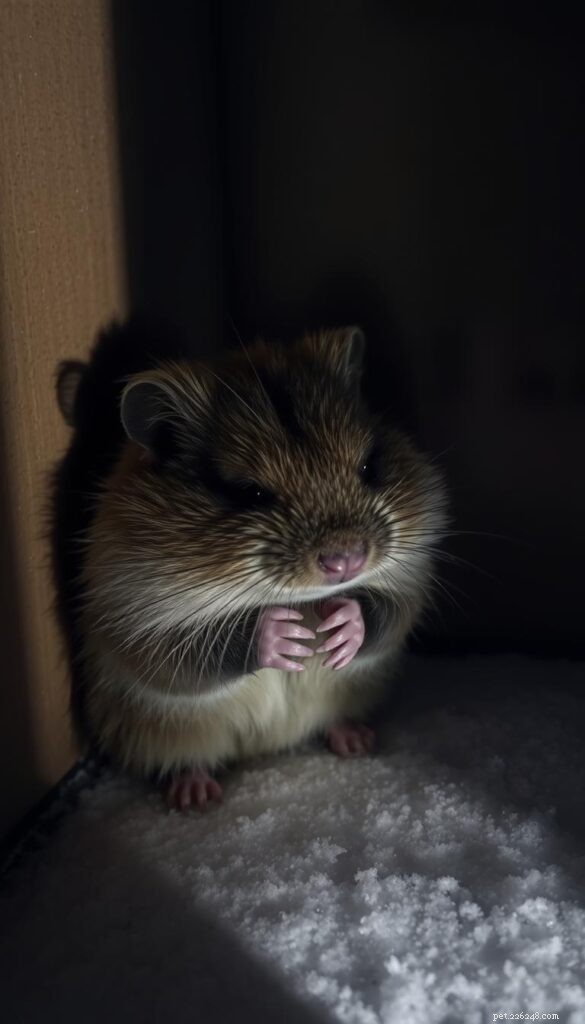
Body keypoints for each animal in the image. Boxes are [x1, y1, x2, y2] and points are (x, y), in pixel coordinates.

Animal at [53, 321, 447, 810]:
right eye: (250, 493)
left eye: (368, 467)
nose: (346, 561)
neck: (300, 597)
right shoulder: (134, 626)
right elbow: (207, 648)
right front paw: (287, 636)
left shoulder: (411, 579)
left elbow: (383, 614)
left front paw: (337, 629)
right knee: (185, 759)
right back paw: (194, 797)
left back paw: (356, 741)